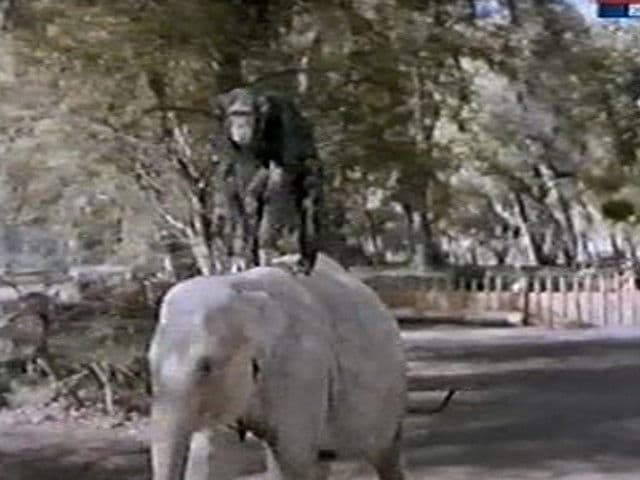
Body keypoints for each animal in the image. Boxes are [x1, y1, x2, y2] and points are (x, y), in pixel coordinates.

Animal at [148, 253, 407, 480]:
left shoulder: (302, 366)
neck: (239, 288)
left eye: (206, 367)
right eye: (150, 364)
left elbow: (291, 458)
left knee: (384, 454)